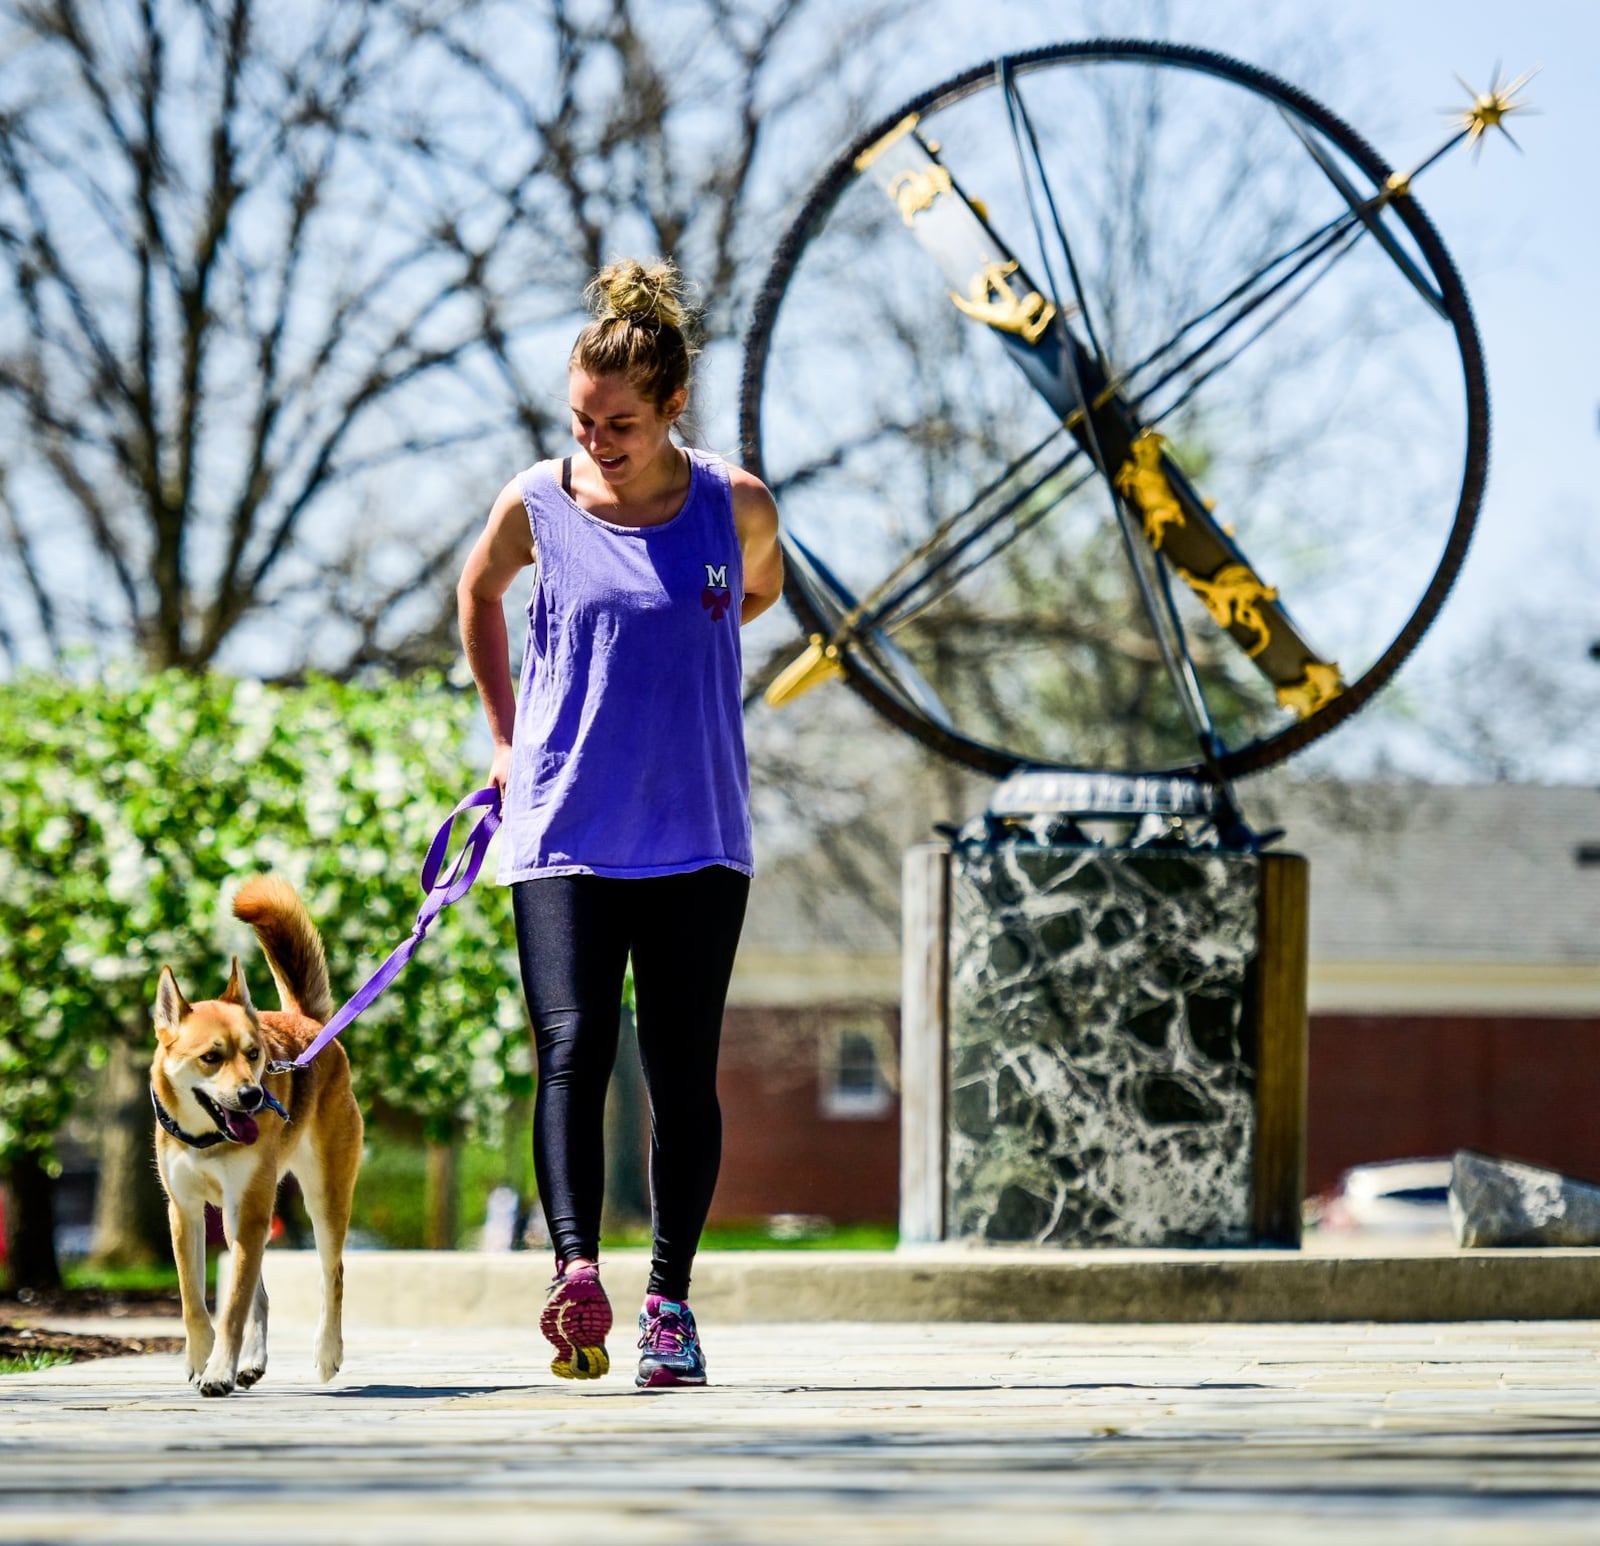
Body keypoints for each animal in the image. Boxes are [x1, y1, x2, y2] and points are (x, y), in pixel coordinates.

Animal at [148, 877, 361, 1395]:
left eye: (253, 1053)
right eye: (211, 1057)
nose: (251, 1095)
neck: (207, 1138)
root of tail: (311, 1023)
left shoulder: (249, 1208)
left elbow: (233, 1307)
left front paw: (218, 1370)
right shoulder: (185, 1211)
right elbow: (194, 1299)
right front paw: (201, 1359)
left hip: (319, 1197)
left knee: (332, 1273)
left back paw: (327, 1353)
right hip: (238, 1213)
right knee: (261, 1293)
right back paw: (252, 1362)